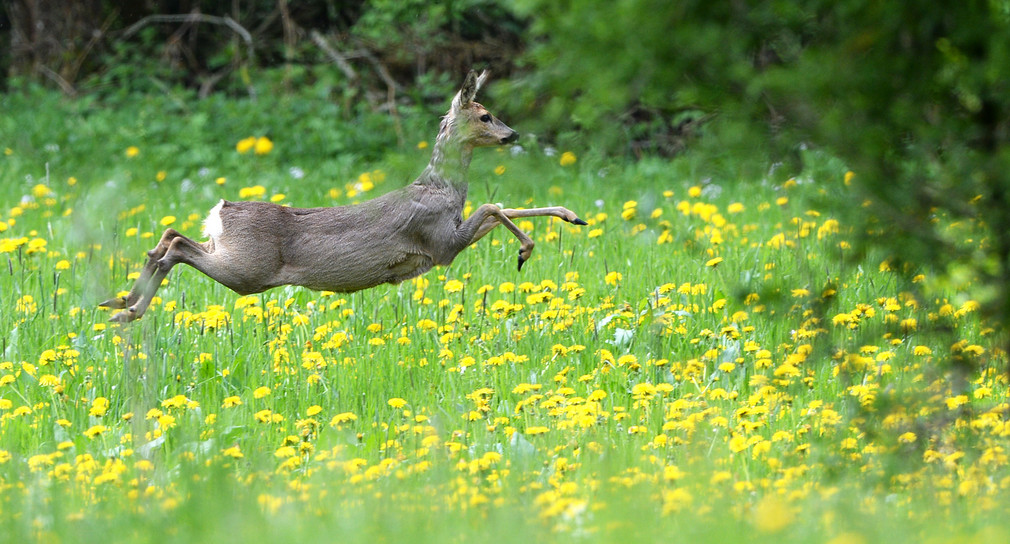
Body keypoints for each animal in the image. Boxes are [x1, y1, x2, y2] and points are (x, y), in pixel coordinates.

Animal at [98, 69, 589, 320]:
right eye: (485, 115)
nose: (512, 134)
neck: (441, 187)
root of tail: (221, 210)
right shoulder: (441, 243)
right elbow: (493, 205)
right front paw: (527, 250)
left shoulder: (446, 241)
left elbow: (501, 205)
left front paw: (572, 215)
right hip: (248, 270)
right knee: (177, 247)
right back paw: (127, 310)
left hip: (230, 254)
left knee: (168, 237)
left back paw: (119, 302)